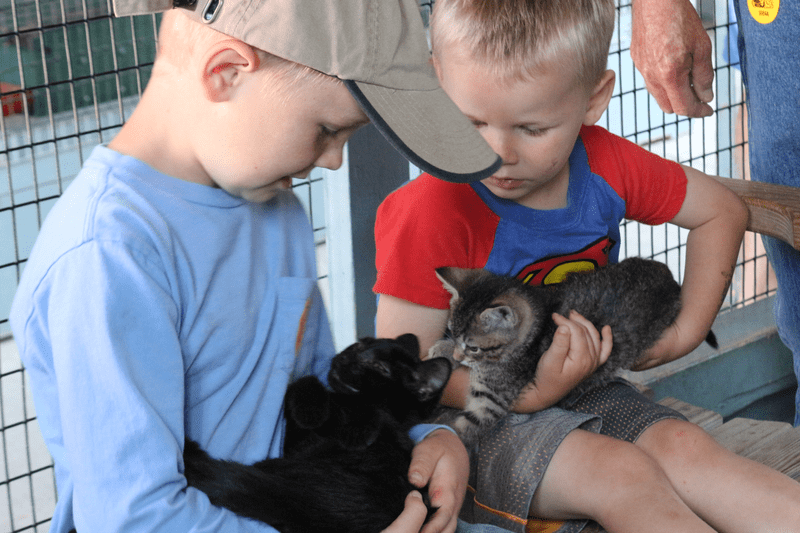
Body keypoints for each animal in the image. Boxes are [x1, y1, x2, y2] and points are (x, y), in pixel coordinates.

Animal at [184, 332, 454, 532]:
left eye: (379, 367)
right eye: (358, 345)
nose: (345, 359)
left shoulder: (301, 440)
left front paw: (356, 429)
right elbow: (305, 382)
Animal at [428, 256, 716, 446]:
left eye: (474, 346)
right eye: (451, 332)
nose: (457, 354)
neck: (539, 323)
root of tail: (668, 276)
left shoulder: (492, 398)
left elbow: (463, 425)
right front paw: (443, 350)